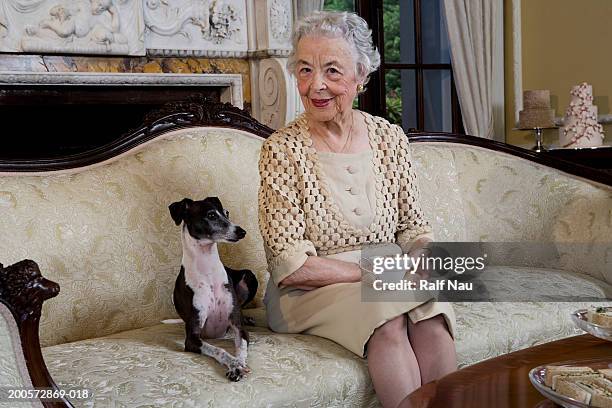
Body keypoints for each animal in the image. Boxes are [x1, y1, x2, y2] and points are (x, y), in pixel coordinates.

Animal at [169, 198, 260, 382]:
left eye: (227, 213)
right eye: (211, 215)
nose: (242, 232)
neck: (208, 270)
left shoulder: (239, 328)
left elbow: (241, 348)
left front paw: (239, 364)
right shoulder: (192, 338)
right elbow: (219, 349)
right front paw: (234, 365)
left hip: (249, 276)